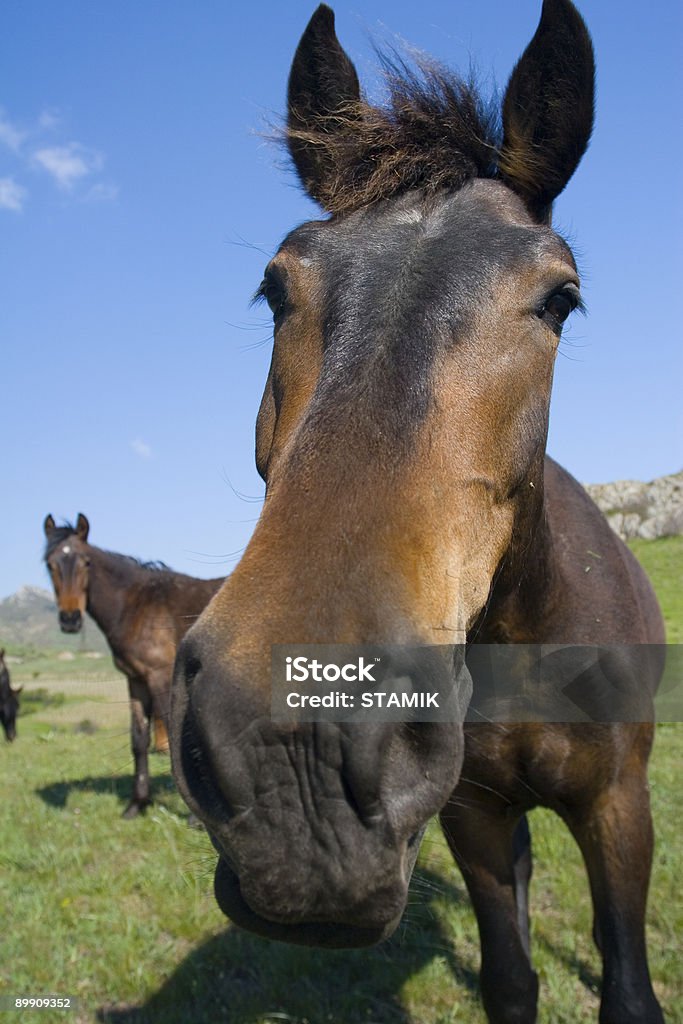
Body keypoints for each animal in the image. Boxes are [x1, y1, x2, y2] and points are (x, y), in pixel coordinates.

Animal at [43, 516, 224, 819]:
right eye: (50, 564)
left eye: (86, 562)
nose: (70, 620)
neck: (136, 607)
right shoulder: (136, 680)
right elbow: (139, 739)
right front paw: (137, 803)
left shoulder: (160, 676)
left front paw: (195, 816)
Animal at [167, 2, 663, 1024]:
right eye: (275, 286)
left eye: (561, 299)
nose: (299, 751)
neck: (529, 640)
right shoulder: (472, 816)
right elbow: (510, 978)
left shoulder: (618, 808)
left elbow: (627, 986)